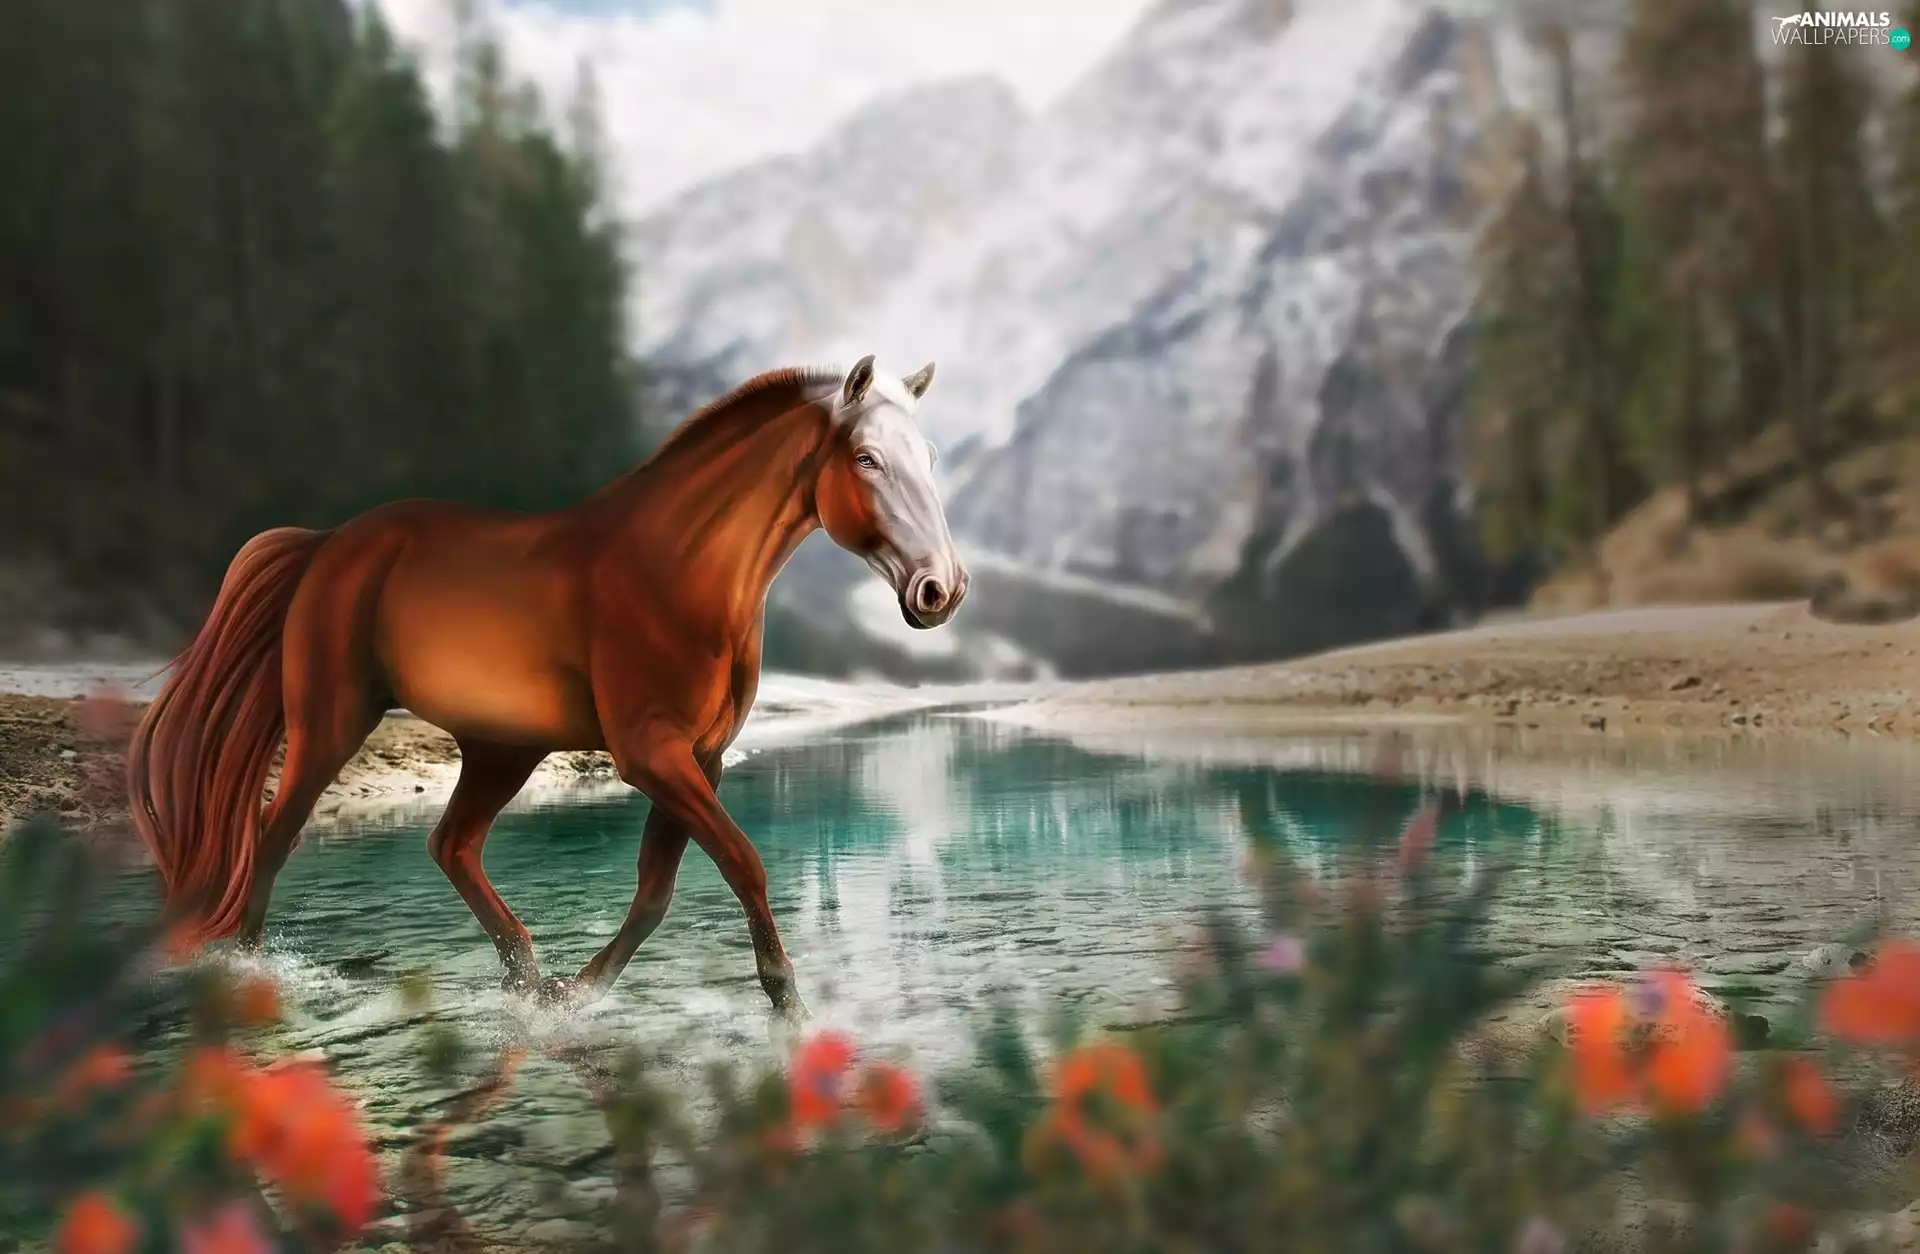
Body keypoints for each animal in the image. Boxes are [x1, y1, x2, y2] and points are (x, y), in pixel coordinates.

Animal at [126, 356, 968, 1022]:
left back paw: (528, 980)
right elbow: (741, 862)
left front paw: (577, 992)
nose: (941, 590)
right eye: (866, 459)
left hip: (502, 751)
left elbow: (656, 889)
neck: (678, 570)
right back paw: (251, 971)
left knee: (451, 845)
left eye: (927, 457)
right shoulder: (652, 755)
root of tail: (327, 543)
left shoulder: (702, 758)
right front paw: (786, 1000)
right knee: (274, 839)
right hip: (330, 724)